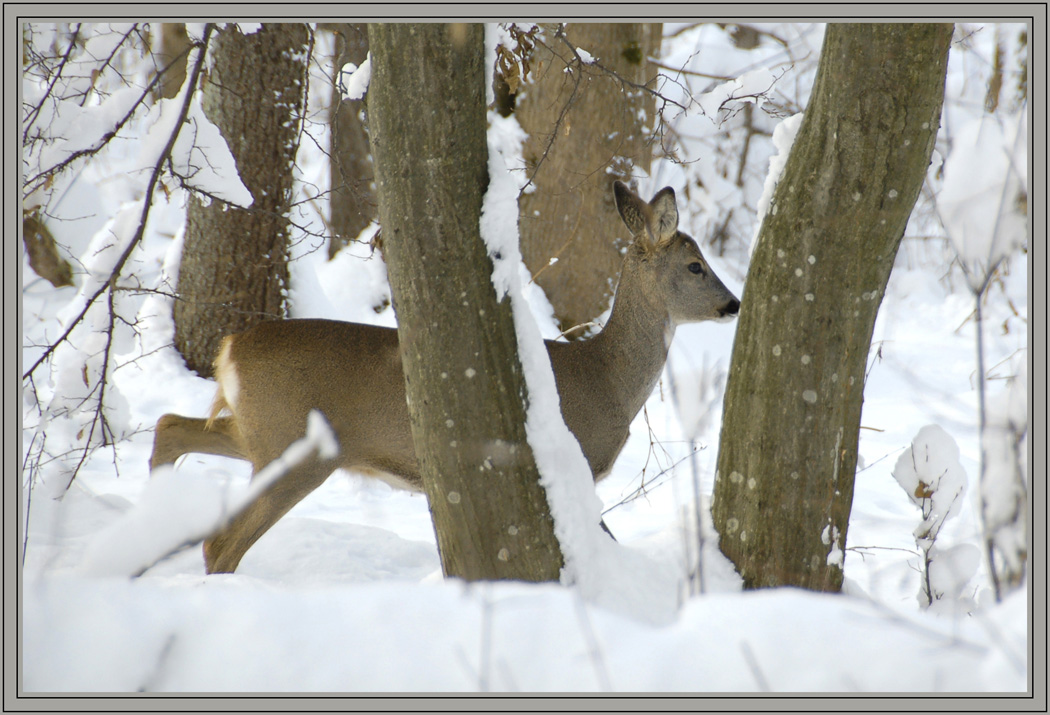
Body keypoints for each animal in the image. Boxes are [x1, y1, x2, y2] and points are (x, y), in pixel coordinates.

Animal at [150, 181, 739, 571]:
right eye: (695, 266)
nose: (733, 303)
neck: (607, 381)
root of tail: (230, 349)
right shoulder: (573, 460)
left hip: (259, 433)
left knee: (169, 425)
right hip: (297, 447)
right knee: (221, 543)